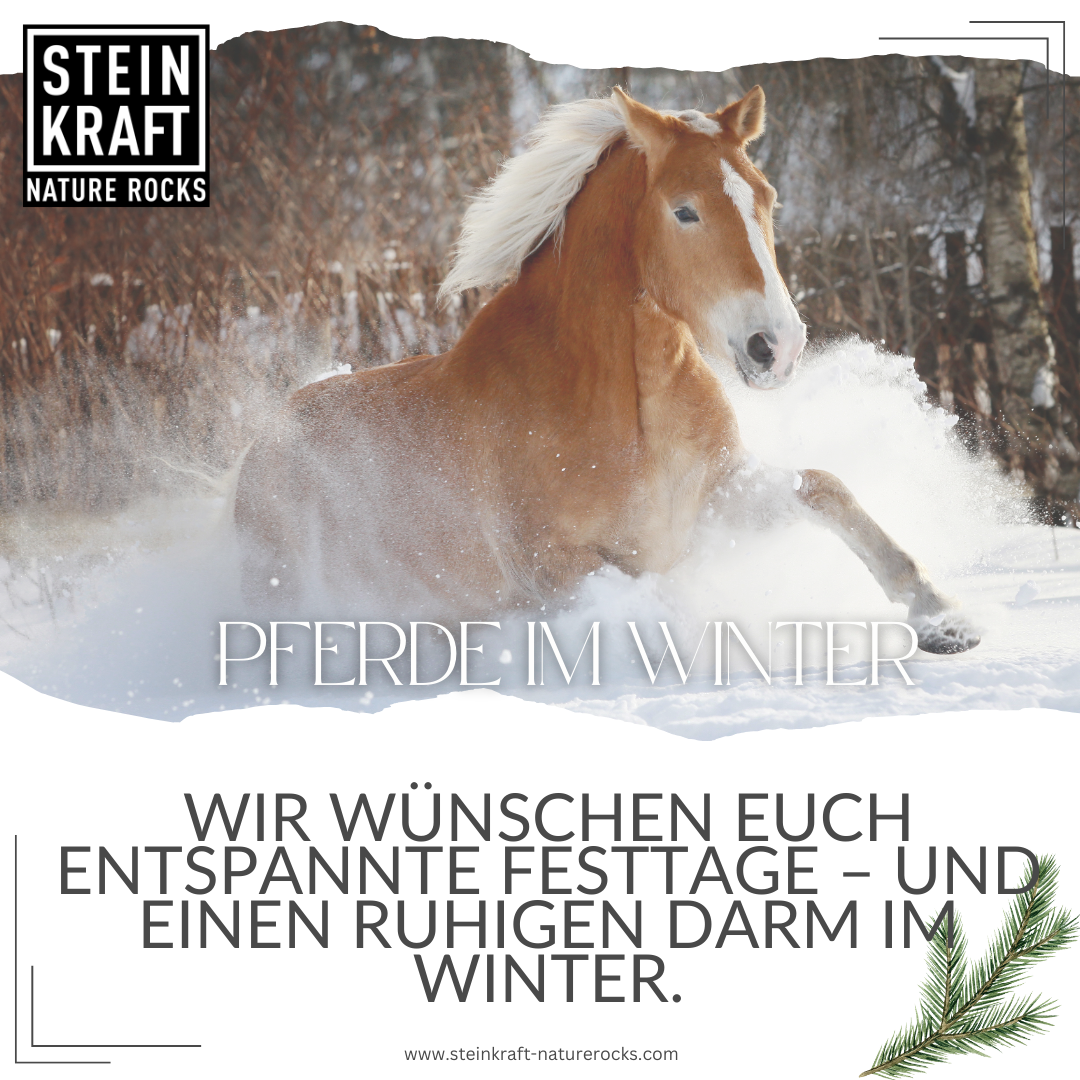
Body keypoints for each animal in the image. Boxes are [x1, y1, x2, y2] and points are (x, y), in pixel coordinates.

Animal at [234, 86, 978, 655]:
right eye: (685, 210)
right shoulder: (557, 567)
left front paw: (943, 619)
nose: (778, 346)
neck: (631, 411)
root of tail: (261, 444)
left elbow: (826, 488)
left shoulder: (714, 498)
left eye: (766, 198)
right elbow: (655, 599)